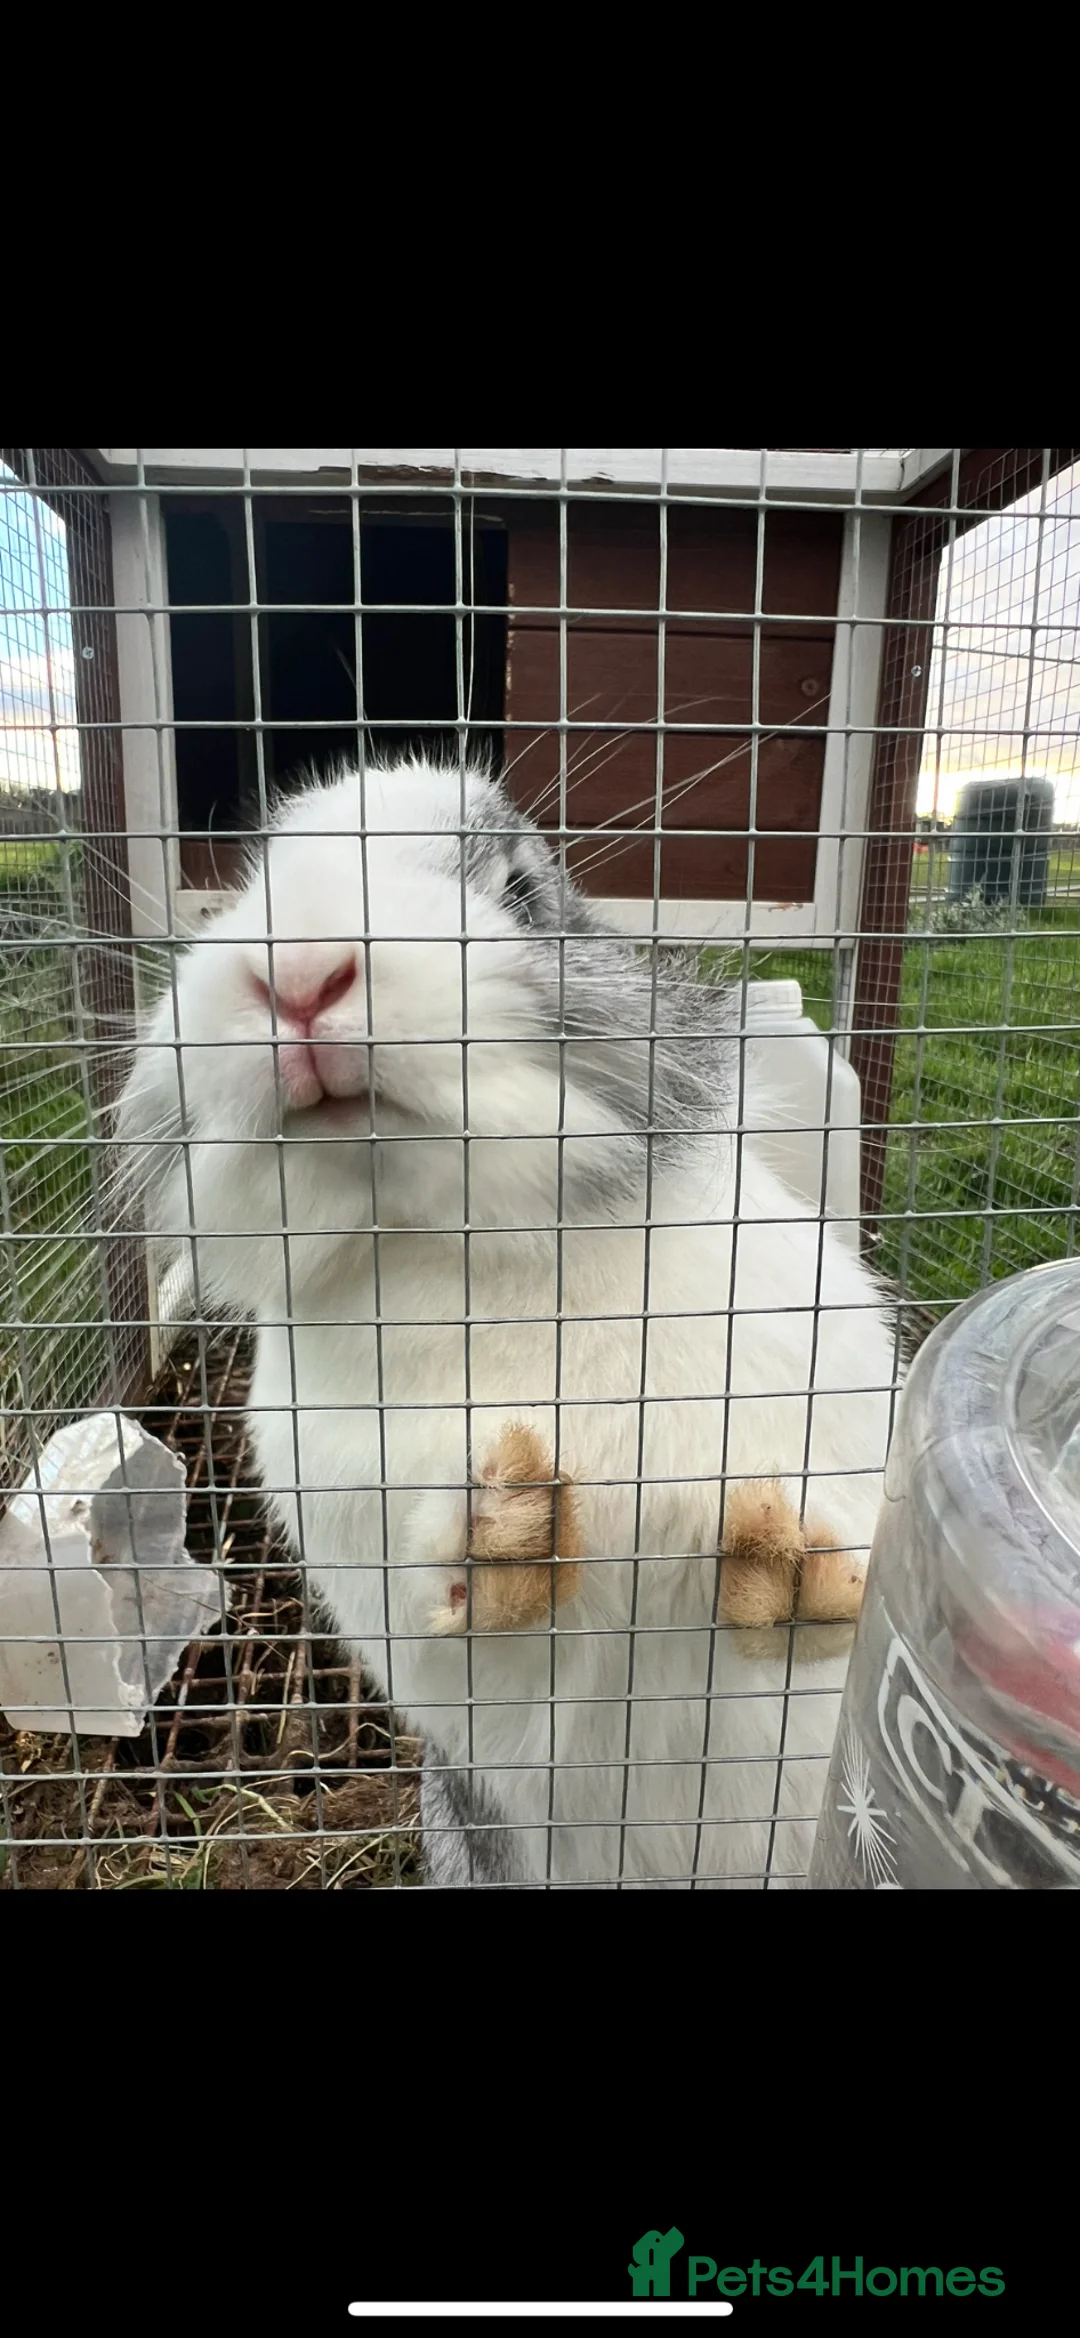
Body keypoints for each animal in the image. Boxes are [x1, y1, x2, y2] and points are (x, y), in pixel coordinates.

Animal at [117, 756, 901, 1888]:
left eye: (522, 890)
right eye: (249, 888)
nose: (298, 972)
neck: (470, 1249)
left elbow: (805, 1610)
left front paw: (791, 1557)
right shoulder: (434, 1633)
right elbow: (484, 1629)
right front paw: (505, 1516)